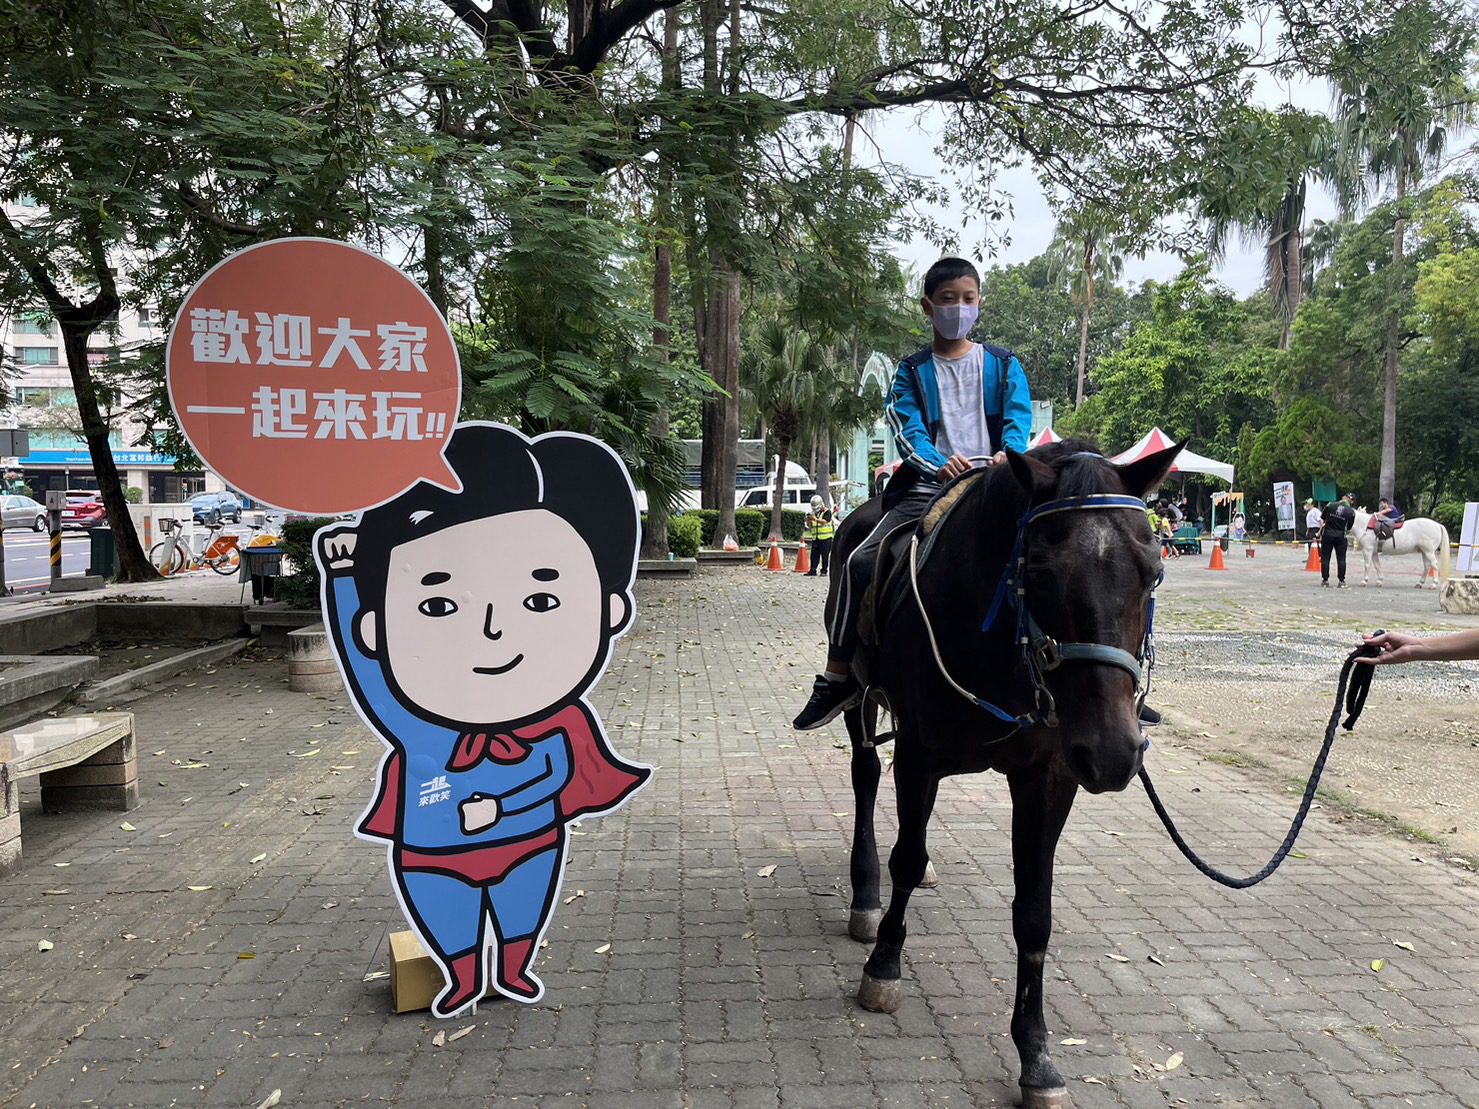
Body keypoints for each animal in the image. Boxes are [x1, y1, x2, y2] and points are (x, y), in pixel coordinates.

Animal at [834, 437, 1177, 1106]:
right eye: (1040, 574)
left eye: (1152, 571)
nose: (1113, 751)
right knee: (865, 777)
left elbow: (1034, 911)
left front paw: (1036, 1054)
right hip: (859, 697)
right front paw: (883, 965)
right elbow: (904, 860)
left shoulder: (1049, 778)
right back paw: (865, 896)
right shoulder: (919, 755)